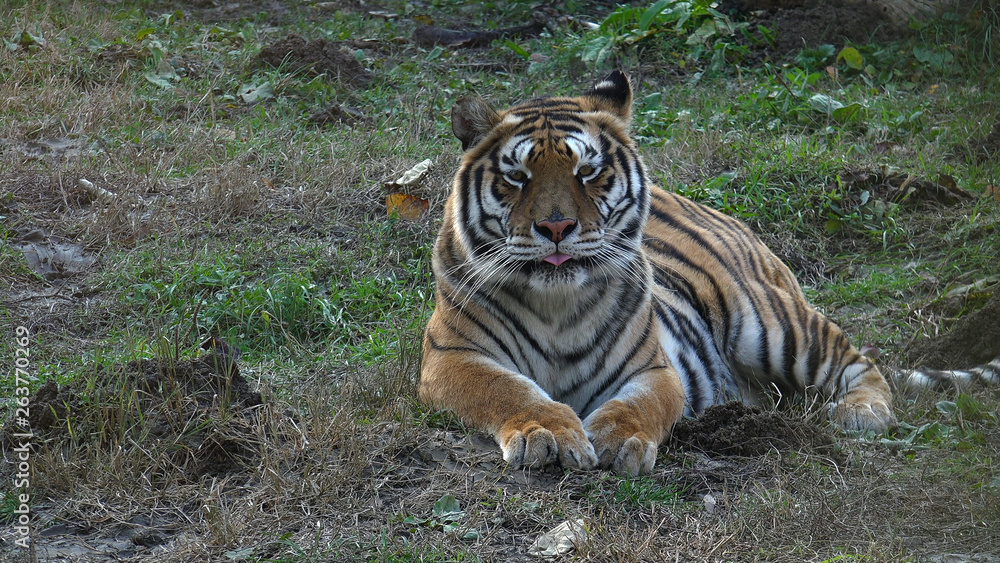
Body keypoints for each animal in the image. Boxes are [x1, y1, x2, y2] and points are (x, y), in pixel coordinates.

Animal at [419, 70, 999, 476]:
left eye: (588, 171)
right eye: (518, 177)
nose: (557, 227)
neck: (556, 302)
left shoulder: (654, 367)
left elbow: (642, 405)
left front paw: (618, 439)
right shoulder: (453, 358)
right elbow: (508, 391)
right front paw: (549, 432)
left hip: (771, 324)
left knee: (859, 362)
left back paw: (862, 412)